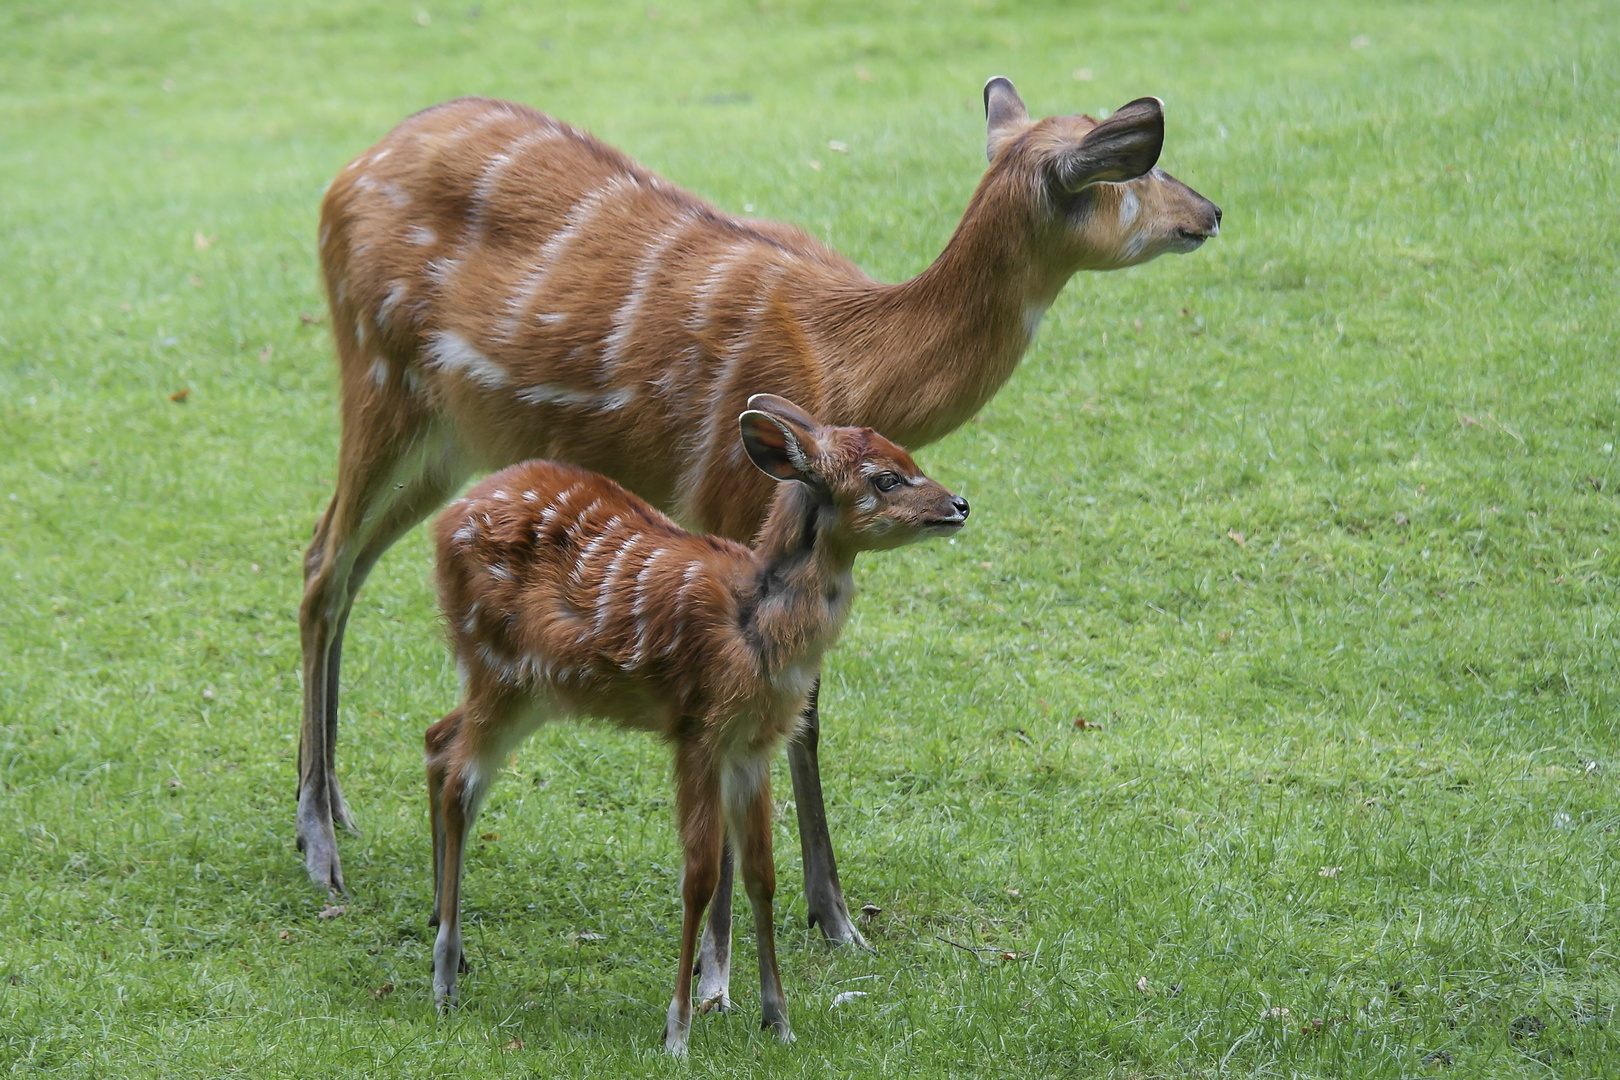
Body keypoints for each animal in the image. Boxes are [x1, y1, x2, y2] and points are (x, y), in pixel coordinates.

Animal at [301, 80, 1218, 965]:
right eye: (1133, 171)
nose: (1209, 211)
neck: (853, 358)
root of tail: (343, 176)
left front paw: (818, 919)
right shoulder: (732, 496)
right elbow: (792, 713)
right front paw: (796, 933)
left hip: (448, 438)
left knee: (338, 562)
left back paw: (341, 809)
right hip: (379, 370)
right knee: (322, 568)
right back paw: (319, 848)